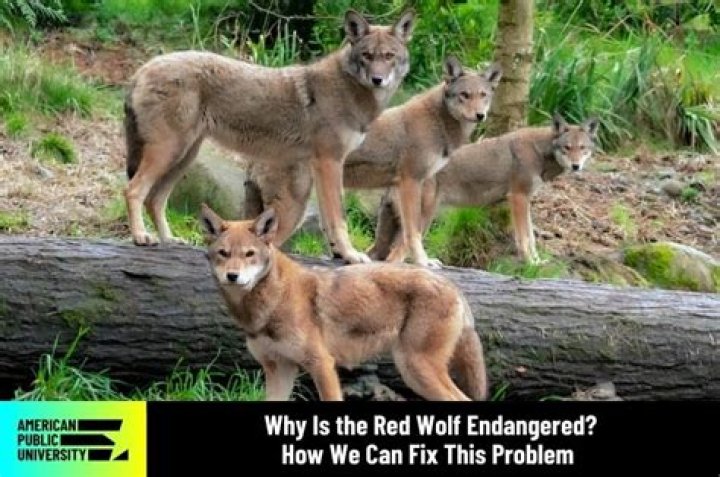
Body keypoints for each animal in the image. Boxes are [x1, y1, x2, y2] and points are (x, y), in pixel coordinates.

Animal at [124, 9, 415, 264]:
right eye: (367, 55)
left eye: (389, 56)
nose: (378, 79)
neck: (349, 91)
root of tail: (143, 68)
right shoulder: (329, 162)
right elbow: (338, 218)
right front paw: (351, 255)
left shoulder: (322, 167)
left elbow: (328, 220)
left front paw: (340, 255)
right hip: (169, 152)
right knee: (133, 190)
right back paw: (141, 236)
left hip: (184, 157)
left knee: (155, 199)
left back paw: (168, 239)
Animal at [202, 205, 488, 401]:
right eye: (223, 254)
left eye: (249, 254)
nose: (232, 276)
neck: (270, 303)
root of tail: (453, 286)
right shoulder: (279, 370)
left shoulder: (322, 364)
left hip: (416, 369)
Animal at [369, 114, 599, 264]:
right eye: (567, 148)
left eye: (583, 149)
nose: (576, 166)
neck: (539, 151)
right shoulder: (518, 198)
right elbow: (524, 238)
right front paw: (530, 263)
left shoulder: (526, 199)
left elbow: (532, 237)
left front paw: (538, 262)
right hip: (423, 221)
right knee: (395, 256)